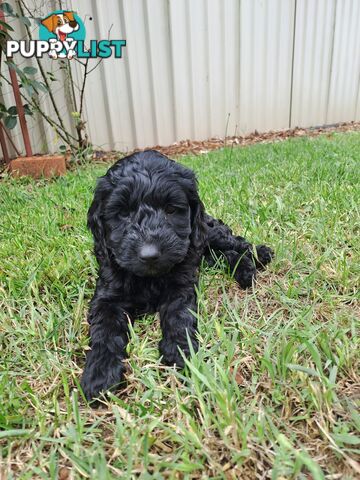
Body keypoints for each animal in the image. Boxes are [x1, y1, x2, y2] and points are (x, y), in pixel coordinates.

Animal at [81, 151, 272, 402]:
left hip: (208, 232)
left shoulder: (181, 286)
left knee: (237, 243)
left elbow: (178, 315)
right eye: (122, 213)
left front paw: (180, 352)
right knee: (223, 255)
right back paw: (244, 269)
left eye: (170, 210)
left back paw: (259, 256)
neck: (149, 278)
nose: (149, 254)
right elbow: (105, 329)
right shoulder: (106, 295)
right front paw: (100, 372)